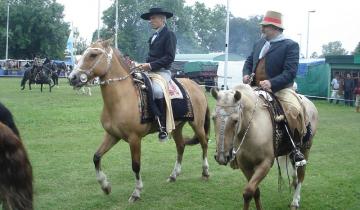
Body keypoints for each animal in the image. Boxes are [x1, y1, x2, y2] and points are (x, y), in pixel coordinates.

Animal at [68, 40, 211, 203]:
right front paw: (105, 186)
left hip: (197, 125)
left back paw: (205, 172)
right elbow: (96, 157)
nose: (72, 78)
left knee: (204, 144)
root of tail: (197, 86)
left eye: (93, 54)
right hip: (176, 127)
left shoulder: (134, 139)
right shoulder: (112, 135)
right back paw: (173, 175)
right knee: (181, 146)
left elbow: (135, 165)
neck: (122, 98)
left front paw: (136, 192)